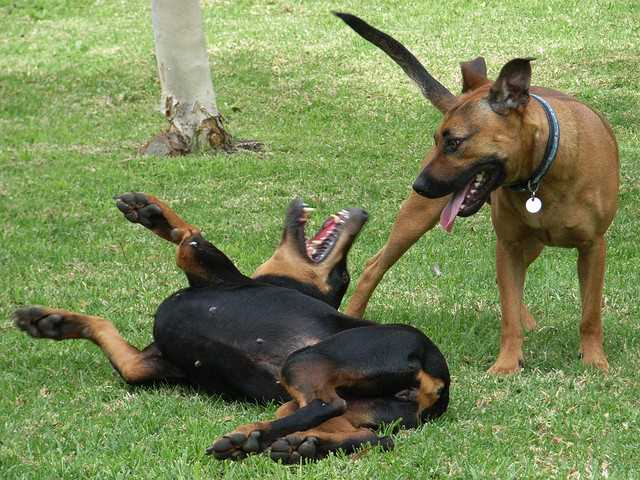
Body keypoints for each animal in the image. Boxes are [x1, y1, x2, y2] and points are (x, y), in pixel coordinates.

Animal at [12, 193, 448, 464]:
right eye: (343, 275)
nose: (362, 216)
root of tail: (436, 380)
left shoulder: (216, 273)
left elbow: (188, 238)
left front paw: (152, 212)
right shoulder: (148, 365)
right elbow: (109, 336)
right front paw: (50, 322)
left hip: (304, 361)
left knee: (327, 404)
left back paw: (249, 436)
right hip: (332, 404)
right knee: (373, 437)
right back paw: (298, 446)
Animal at [336, 13, 620, 376]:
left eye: (454, 142)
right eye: (436, 139)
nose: (419, 186)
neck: (543, 172)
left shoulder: (592, 248)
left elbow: (590, 314)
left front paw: (595, 360)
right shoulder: (508, 245)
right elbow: (508, 315)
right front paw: (507, 364)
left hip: (532, 244)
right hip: (417, 220)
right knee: (375, 265)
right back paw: (351, 316)